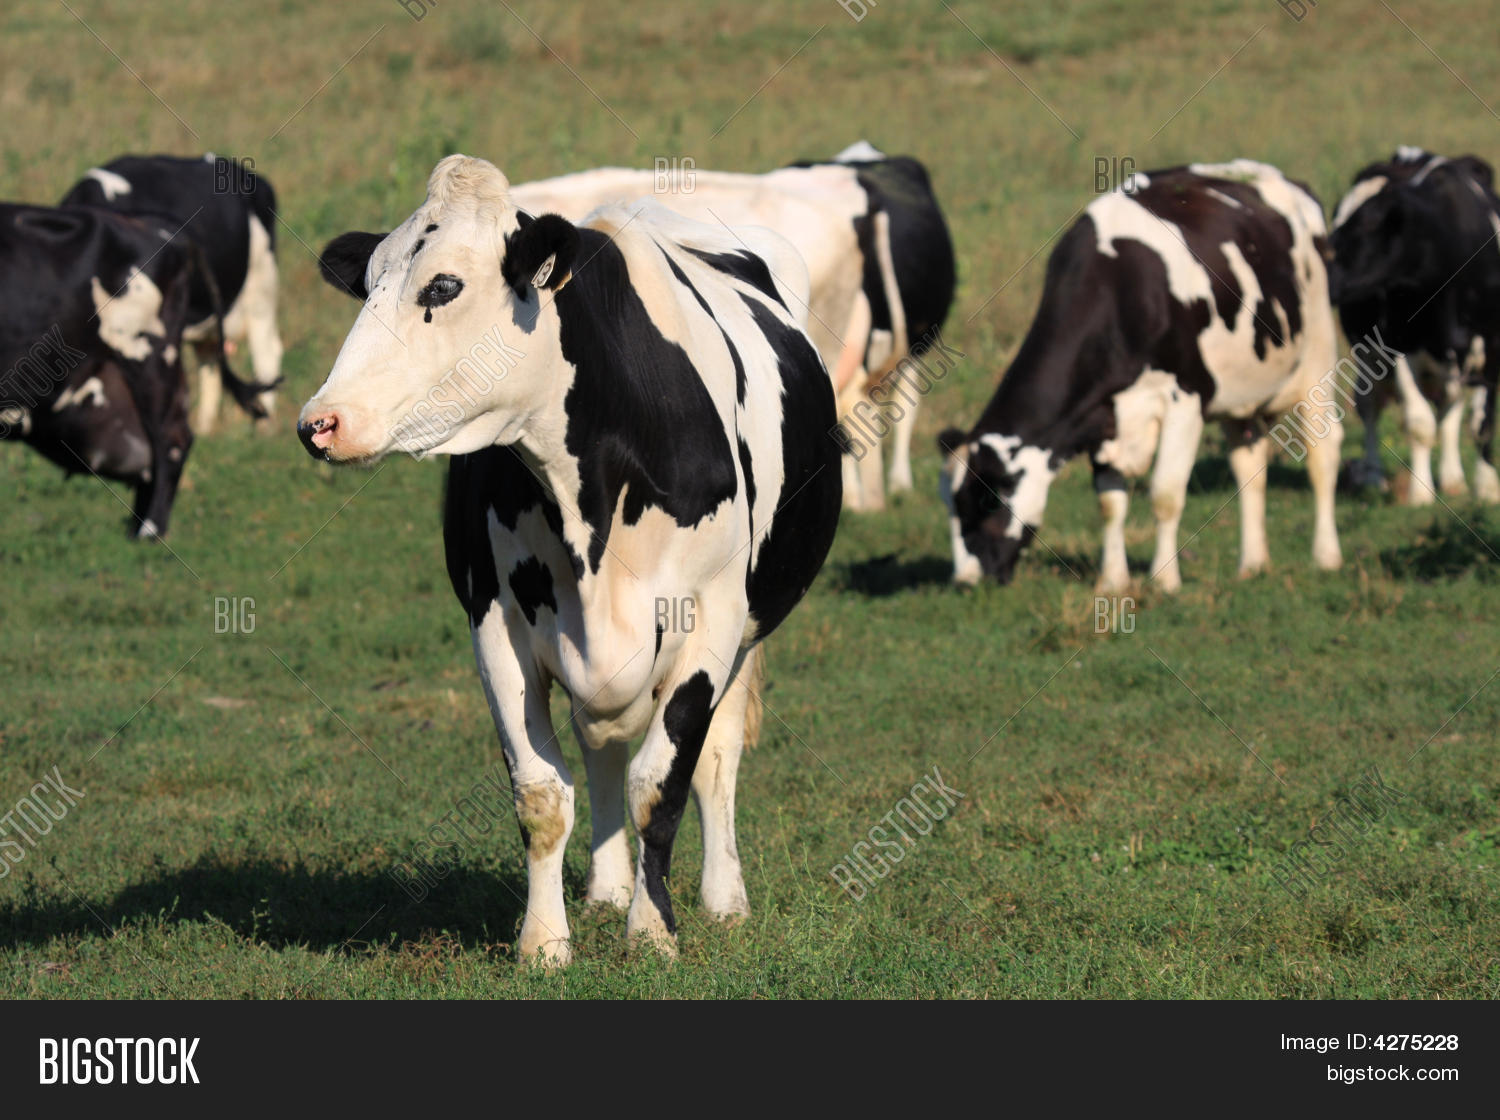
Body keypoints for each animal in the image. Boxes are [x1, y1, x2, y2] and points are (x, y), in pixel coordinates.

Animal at [299, 155, 842, 963]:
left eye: (443, 286)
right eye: (366, 284)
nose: (320, 422)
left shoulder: (712, 616)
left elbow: (663, 782)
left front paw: (653, 933)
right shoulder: (494, 621)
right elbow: (541, 791)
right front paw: (544, 943)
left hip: (751, 625)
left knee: (716, 760)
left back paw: (723, 900)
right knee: (603, 744)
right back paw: (608, 887)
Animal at [938, 160, 1343, 592]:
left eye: (986, 501)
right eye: (951, 506)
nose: (965, 581)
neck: (1119, 290)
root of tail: (1283, 179)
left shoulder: (1186, 399)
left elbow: (1165, 494)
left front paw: (1164, 581)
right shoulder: (1103, 414)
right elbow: (1110, 502)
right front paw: (1112, 581)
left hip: (1318, 354)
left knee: (1323, 452)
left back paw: (1326, 556)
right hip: (1240, 391)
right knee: (1248, 464)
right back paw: (1252, 563)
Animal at [1329, 146, 1500, 504]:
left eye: (1361, 231)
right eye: (1335, 224)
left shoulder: (1493, 341)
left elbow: (1482, 423)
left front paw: (1488, 487)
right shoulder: (1399, 344)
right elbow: (1420, 423)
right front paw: (1420, 495)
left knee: (1451, 406)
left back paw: (1453, 477)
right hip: (1368, 350)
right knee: (1369, 405)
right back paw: (1373, 475)